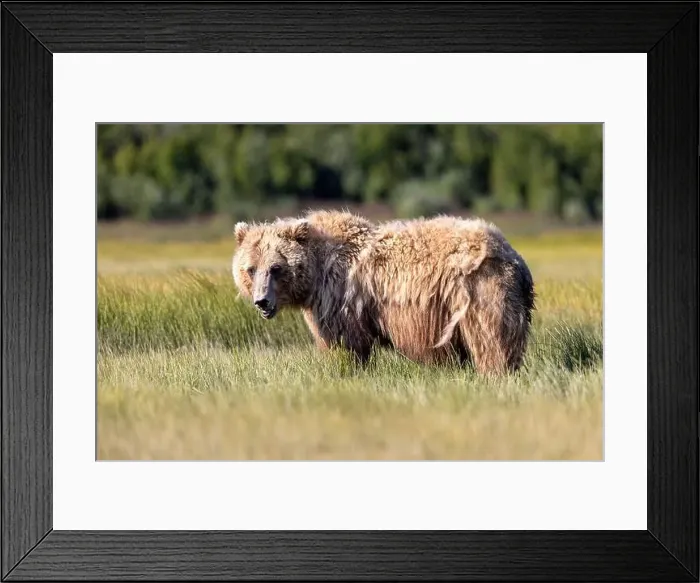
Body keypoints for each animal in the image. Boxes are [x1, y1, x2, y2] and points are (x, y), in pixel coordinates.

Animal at [231, 210, 535, 374]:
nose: (262, 302)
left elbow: (345, 344)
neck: (316, 274)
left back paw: (495, 373)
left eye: (276, 268)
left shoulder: (341, 297)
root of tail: (514, 256)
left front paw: (344, 368)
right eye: (251, 269)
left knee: (490, 341)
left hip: (480, 291)